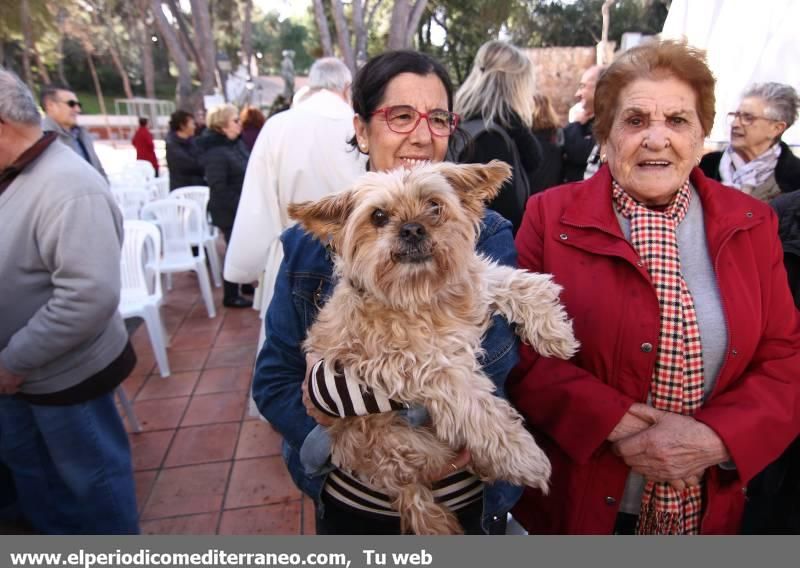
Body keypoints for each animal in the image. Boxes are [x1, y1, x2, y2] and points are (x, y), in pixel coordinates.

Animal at [290, 162, 580, 536]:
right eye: (378, 216)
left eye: (434, 206)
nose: (413, 228)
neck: (420, 294)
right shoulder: (407, 364)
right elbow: (472, 401)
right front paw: (521, 455)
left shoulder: (472, 287)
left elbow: (514, 280)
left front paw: (555, 331)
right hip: (400, 443)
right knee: (411, 478)